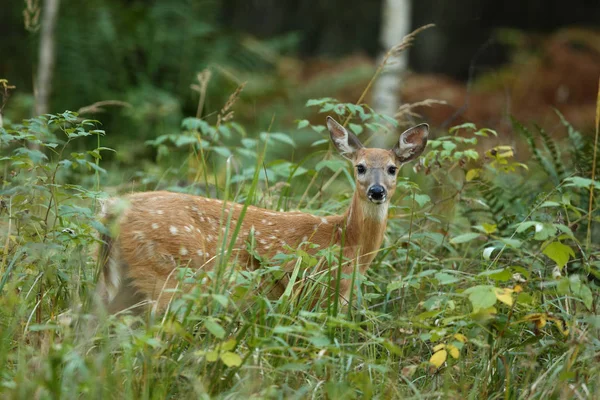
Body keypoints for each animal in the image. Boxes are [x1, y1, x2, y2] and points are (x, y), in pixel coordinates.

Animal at [96, 117, 428, 314]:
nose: (376, 191)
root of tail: (113, 209)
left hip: (122, 278)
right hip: (168, 273)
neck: (347, 240)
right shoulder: (327, 290)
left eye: (392, 168)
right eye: (360, 167)